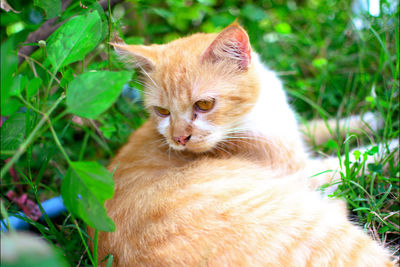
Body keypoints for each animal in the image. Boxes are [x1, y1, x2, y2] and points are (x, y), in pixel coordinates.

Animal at [87, 23, 394, 266]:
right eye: (162, 111)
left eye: (204, 105)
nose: (179, 139)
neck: (255, 114)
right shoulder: (303, 171)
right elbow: (356, 159)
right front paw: (389, 143)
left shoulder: (294, 132)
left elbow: (324, 127)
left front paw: (371, 119)